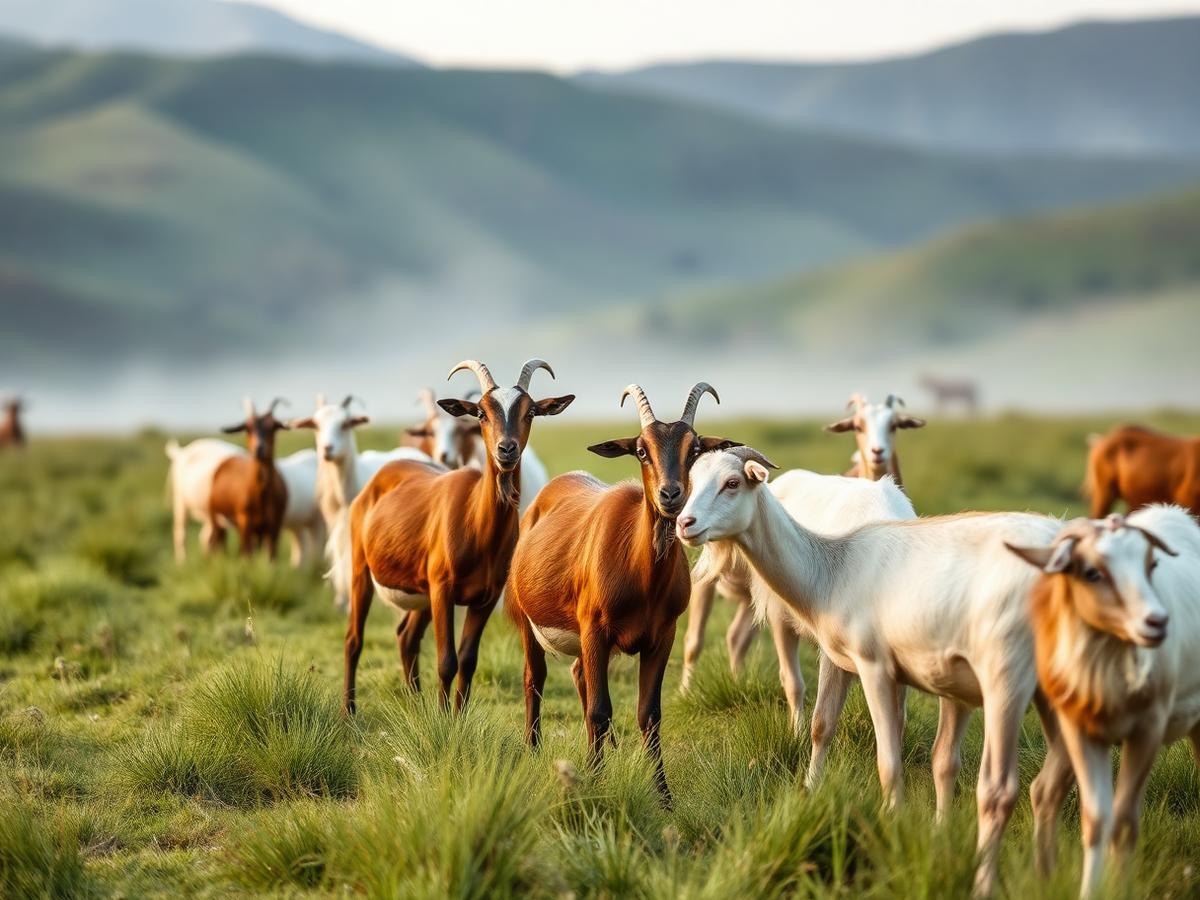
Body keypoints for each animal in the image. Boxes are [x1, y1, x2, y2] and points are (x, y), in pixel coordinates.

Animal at [209, 397, 290, 558]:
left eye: (273, 427)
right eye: (248, 428)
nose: (259, 449)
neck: (260, 495)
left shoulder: (273, 527)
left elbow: (271, 557)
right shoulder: (245, 523)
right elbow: (247, 556)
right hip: (216, 519)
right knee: (219, 543)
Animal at [505, 382, 738, 807]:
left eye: (695, 448)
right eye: (642, 449)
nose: (670, 495)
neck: (642, 575)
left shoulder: (662, 637)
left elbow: (649, 714)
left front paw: (664, 797)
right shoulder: (595, 631)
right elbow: (600, 710)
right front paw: (596, 786)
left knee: (578, 674)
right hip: (529, 626)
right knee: (535, 679)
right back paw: (533, 753)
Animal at [677, 447, 1063, 896]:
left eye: (733, 482)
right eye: (692, 480)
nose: (685, 523)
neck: (832, 568)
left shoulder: (875, 665)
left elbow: (888, 760)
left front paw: (892, 826)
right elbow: (826, 727)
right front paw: (812, 793)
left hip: (1008, 680)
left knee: (1003, 790)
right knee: (1051, 787)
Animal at [1007, 507, 1200, 898]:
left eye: (1151, 564)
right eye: (1092, 572)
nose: (1157, 622)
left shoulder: (1148, 729)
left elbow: (1123, 824)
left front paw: (1117, 887)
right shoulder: (1081, 731)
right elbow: (1097, 820)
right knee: (1045, 790)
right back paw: (1044, 876)